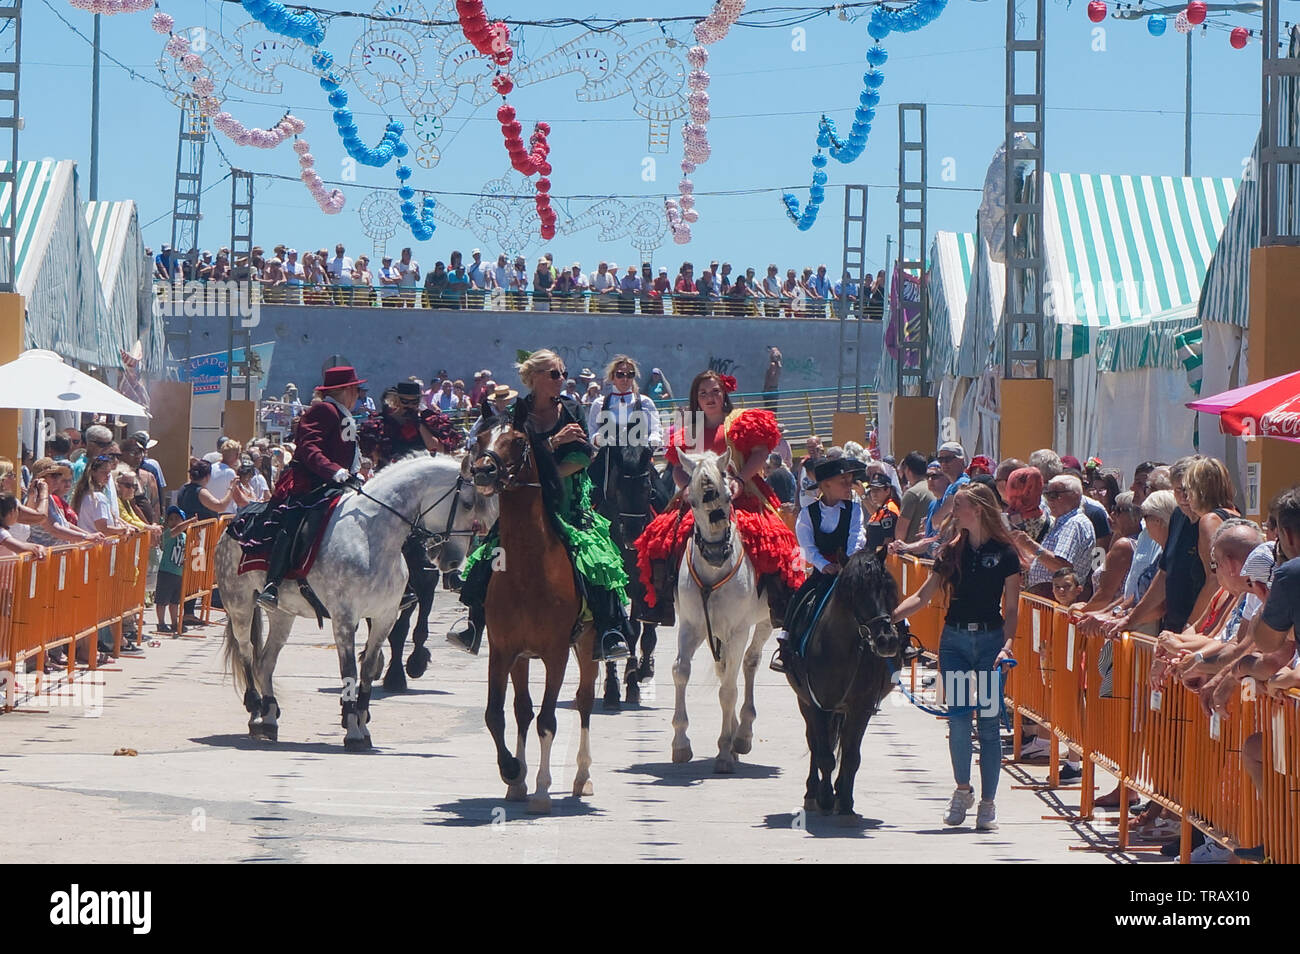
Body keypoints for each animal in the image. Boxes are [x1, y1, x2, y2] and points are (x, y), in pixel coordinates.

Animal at [215, 454, 486, 753]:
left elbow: (367, 671)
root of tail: (236, 520)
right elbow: (349, 672)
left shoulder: (384, 617)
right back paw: (255, 713)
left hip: (283, 614)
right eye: (468, 503)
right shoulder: (345, 618)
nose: (452, 561)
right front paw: (354, 731)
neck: (370, 537)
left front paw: (363, 726)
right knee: (247, 653)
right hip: (239, 606)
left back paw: (270, 718)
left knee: (264, 662)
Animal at [473, 418, 598, 816]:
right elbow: (497, 715)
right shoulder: (503, 651)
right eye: (480, 438)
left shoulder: (556, 654)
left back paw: (582, 777)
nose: (482, 469)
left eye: (517, 441)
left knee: (584, 700)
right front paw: (513, 771)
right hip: (522, 658)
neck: (527, 570)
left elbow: (547, 720)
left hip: (588, 646)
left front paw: (542, 791)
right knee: (522, 710)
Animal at [670, 452, 769, 774]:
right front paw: (680, 744)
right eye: (691, 502)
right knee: (726, 668)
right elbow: (680, 671)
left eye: (728, 496)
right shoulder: (692, 625)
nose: (714, 553)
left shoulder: (738, 630)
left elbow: (728, 690)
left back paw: (743, 736)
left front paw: (725, 751)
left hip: (763, 624)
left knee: (748, 664)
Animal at [780, 548, 904, 816]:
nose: (887, 640)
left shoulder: (861, 707)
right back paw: (812, 793)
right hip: (806, 704)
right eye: (855, 590)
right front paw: (826, 797)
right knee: (815, 744)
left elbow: (851, 756)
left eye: (887, 587)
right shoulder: (817, 705)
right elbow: (825, 755)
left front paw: (845, 799)